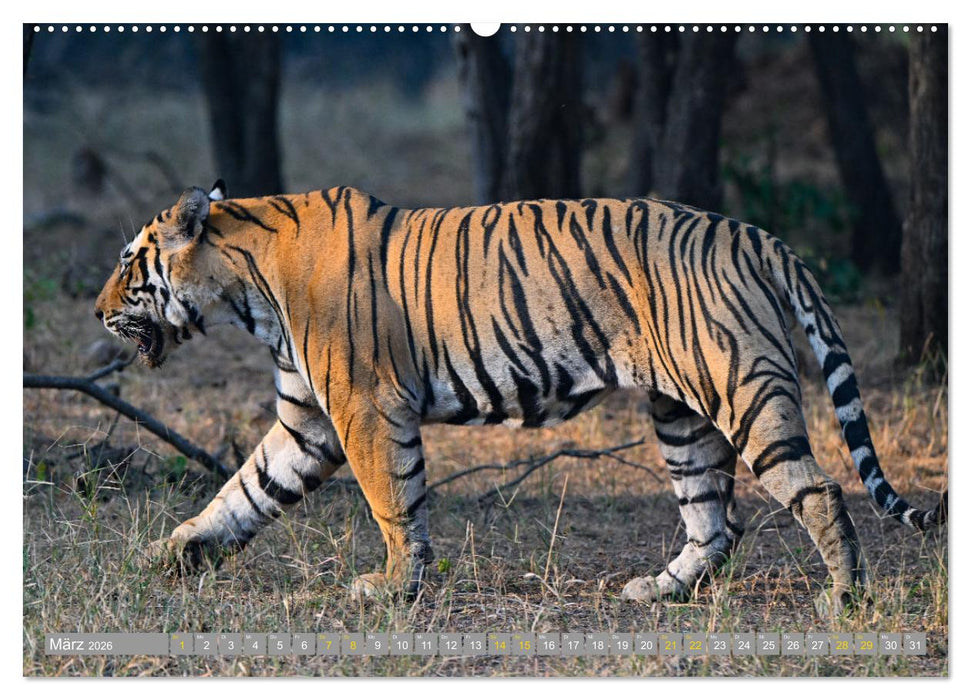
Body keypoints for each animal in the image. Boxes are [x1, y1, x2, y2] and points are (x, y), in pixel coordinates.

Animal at [94, 181, 946, 612]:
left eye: (132, 260)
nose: (97, 311)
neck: (244, 287)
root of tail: (754, 235)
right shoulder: (309, 420)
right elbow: (244, 491)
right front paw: (174, 553)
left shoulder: (362, 409)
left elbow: (392, 501)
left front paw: (393, 586)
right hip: (681, 414)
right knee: (714, 519)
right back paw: (656, 591)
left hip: (741, 391)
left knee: (818, 490)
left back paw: (845, 596)